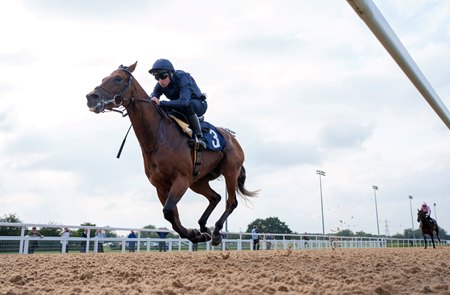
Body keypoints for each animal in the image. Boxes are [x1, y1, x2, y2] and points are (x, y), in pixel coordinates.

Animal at [86, 63, 258, 247]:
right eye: (104, 78)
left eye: (118, 78)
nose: (91, 97)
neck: (157, 138)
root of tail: (232, 138)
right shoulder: (161, 186)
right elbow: (172, 215)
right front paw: (196, 234)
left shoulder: (180, 179)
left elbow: (168, 211)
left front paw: (194, 234)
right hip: (197, 181)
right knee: (215, 197)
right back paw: (204, 227)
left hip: (230, 171)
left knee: (231, 202)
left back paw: (217, 232)